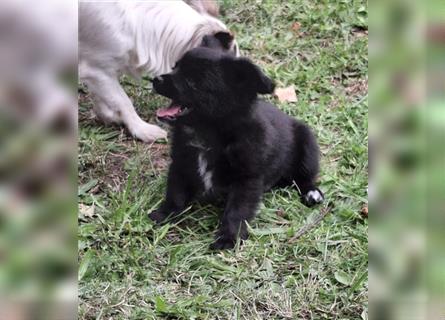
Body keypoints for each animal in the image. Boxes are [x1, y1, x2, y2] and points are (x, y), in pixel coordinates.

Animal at [80, 0, 239, 142]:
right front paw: (141, 130)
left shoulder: (100, 71)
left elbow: (103, 96)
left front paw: (108, 116)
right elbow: (123, 101)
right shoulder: (96, 70)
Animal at [150, 47, 322, 249]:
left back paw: (312, 192)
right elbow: (175, 193)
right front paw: (165, 214)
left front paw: (228, 237)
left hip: (308, 145)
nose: (155, 79)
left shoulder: (246, 179)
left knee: (304, 177)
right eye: (174, 67)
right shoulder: (181, 164)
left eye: (192, 81)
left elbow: (236, 211)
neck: (209, 132)